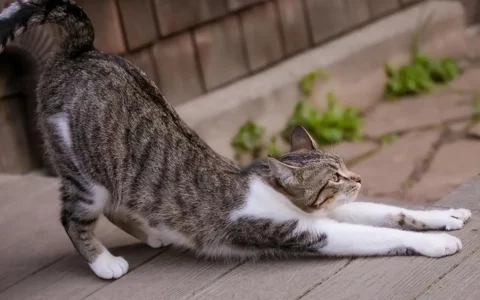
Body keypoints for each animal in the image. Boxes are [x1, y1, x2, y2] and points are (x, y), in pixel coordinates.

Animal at [0, 0, 472, 282]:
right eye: (334, 177)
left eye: (344, 166)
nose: (357, 176)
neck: (282, 197)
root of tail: (80, 52)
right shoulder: (309, 231)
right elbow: (378, 233)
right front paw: (438, 242)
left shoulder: (335, 213)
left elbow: (391, 212)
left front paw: (446, 215)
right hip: (87, 177)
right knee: (73, 218)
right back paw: (104, 264)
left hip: (119, 177)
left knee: (121, 204)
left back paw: (153, 233)